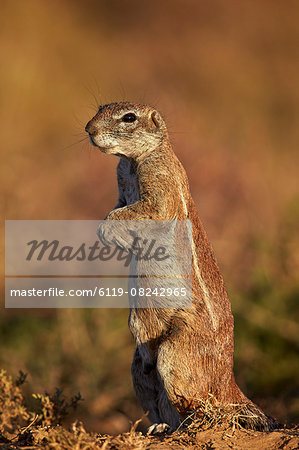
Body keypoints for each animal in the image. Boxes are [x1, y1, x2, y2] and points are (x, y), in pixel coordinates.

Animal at [85, 101, 276, 432]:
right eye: (100, 108)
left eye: (129, 118)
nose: (89, 129)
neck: (133, 161)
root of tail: (229, 383)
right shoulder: (121, 184)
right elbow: (118, 206)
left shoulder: (159, 181)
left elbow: (141, 210)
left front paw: (107, 232)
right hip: (139, 366)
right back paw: (160, 427)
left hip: (176, 352)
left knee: (200, 405)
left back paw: (193, 425)